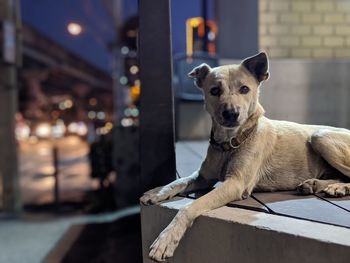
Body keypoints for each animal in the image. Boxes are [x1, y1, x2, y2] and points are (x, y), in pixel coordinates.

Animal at [139, 52, 350, 262]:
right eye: (214, 90)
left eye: (245, 89)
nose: (231, 113)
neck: (230, 143)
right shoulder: (204, 176)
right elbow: (178, 182)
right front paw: (157, 192)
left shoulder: (236, 183)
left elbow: (190, 207)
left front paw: (166, 239)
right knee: (338, 176)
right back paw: (315, 184)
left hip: (320, 137)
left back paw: (338, 188)